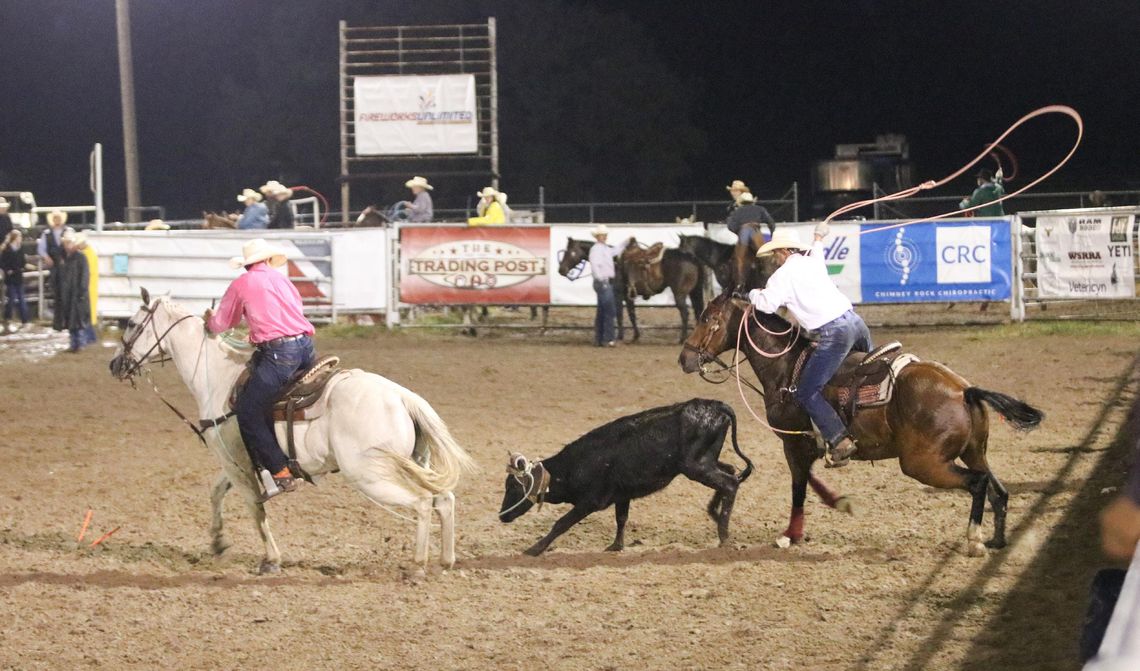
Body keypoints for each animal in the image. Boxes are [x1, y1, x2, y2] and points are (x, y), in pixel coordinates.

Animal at [107, 287, 471, 569]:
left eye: (133, 323)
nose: (114, 365)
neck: (217, 376)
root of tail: (403, 396)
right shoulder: (238, 460)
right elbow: (216, 491)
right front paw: (218, 543)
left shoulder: (237, 463)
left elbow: (255, 508)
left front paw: (271, 559)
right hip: (413, 464)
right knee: (444, 499)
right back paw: (445, 561)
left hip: (370, 475)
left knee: (422, 502)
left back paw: (418, 565)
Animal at [497, 398, 747, 553]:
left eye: (513, 487)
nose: (502, 516)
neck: (573, 466)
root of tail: (716, 406)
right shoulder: (622, 494)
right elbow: (621, 519)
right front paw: (616, 546)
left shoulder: (590, 501)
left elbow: (561, 523)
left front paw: (534, 549)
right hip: (707, 462)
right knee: (731, 471)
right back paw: (715, 514)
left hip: (696, 466)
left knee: (730, 483)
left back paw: (724, 536)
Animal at [674, 290, 1044, 551]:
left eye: (708, 318)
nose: (684, 358)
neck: (786, 367)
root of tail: (963, 390)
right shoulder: (807, 445)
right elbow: (810, 481)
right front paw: (838, 503)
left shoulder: (793, 444)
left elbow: (799, 487)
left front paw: (790, 535)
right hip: (974, 452)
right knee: (998, 491)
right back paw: (996, 541)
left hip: (922, 463)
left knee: (977, 484)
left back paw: (974, 540)